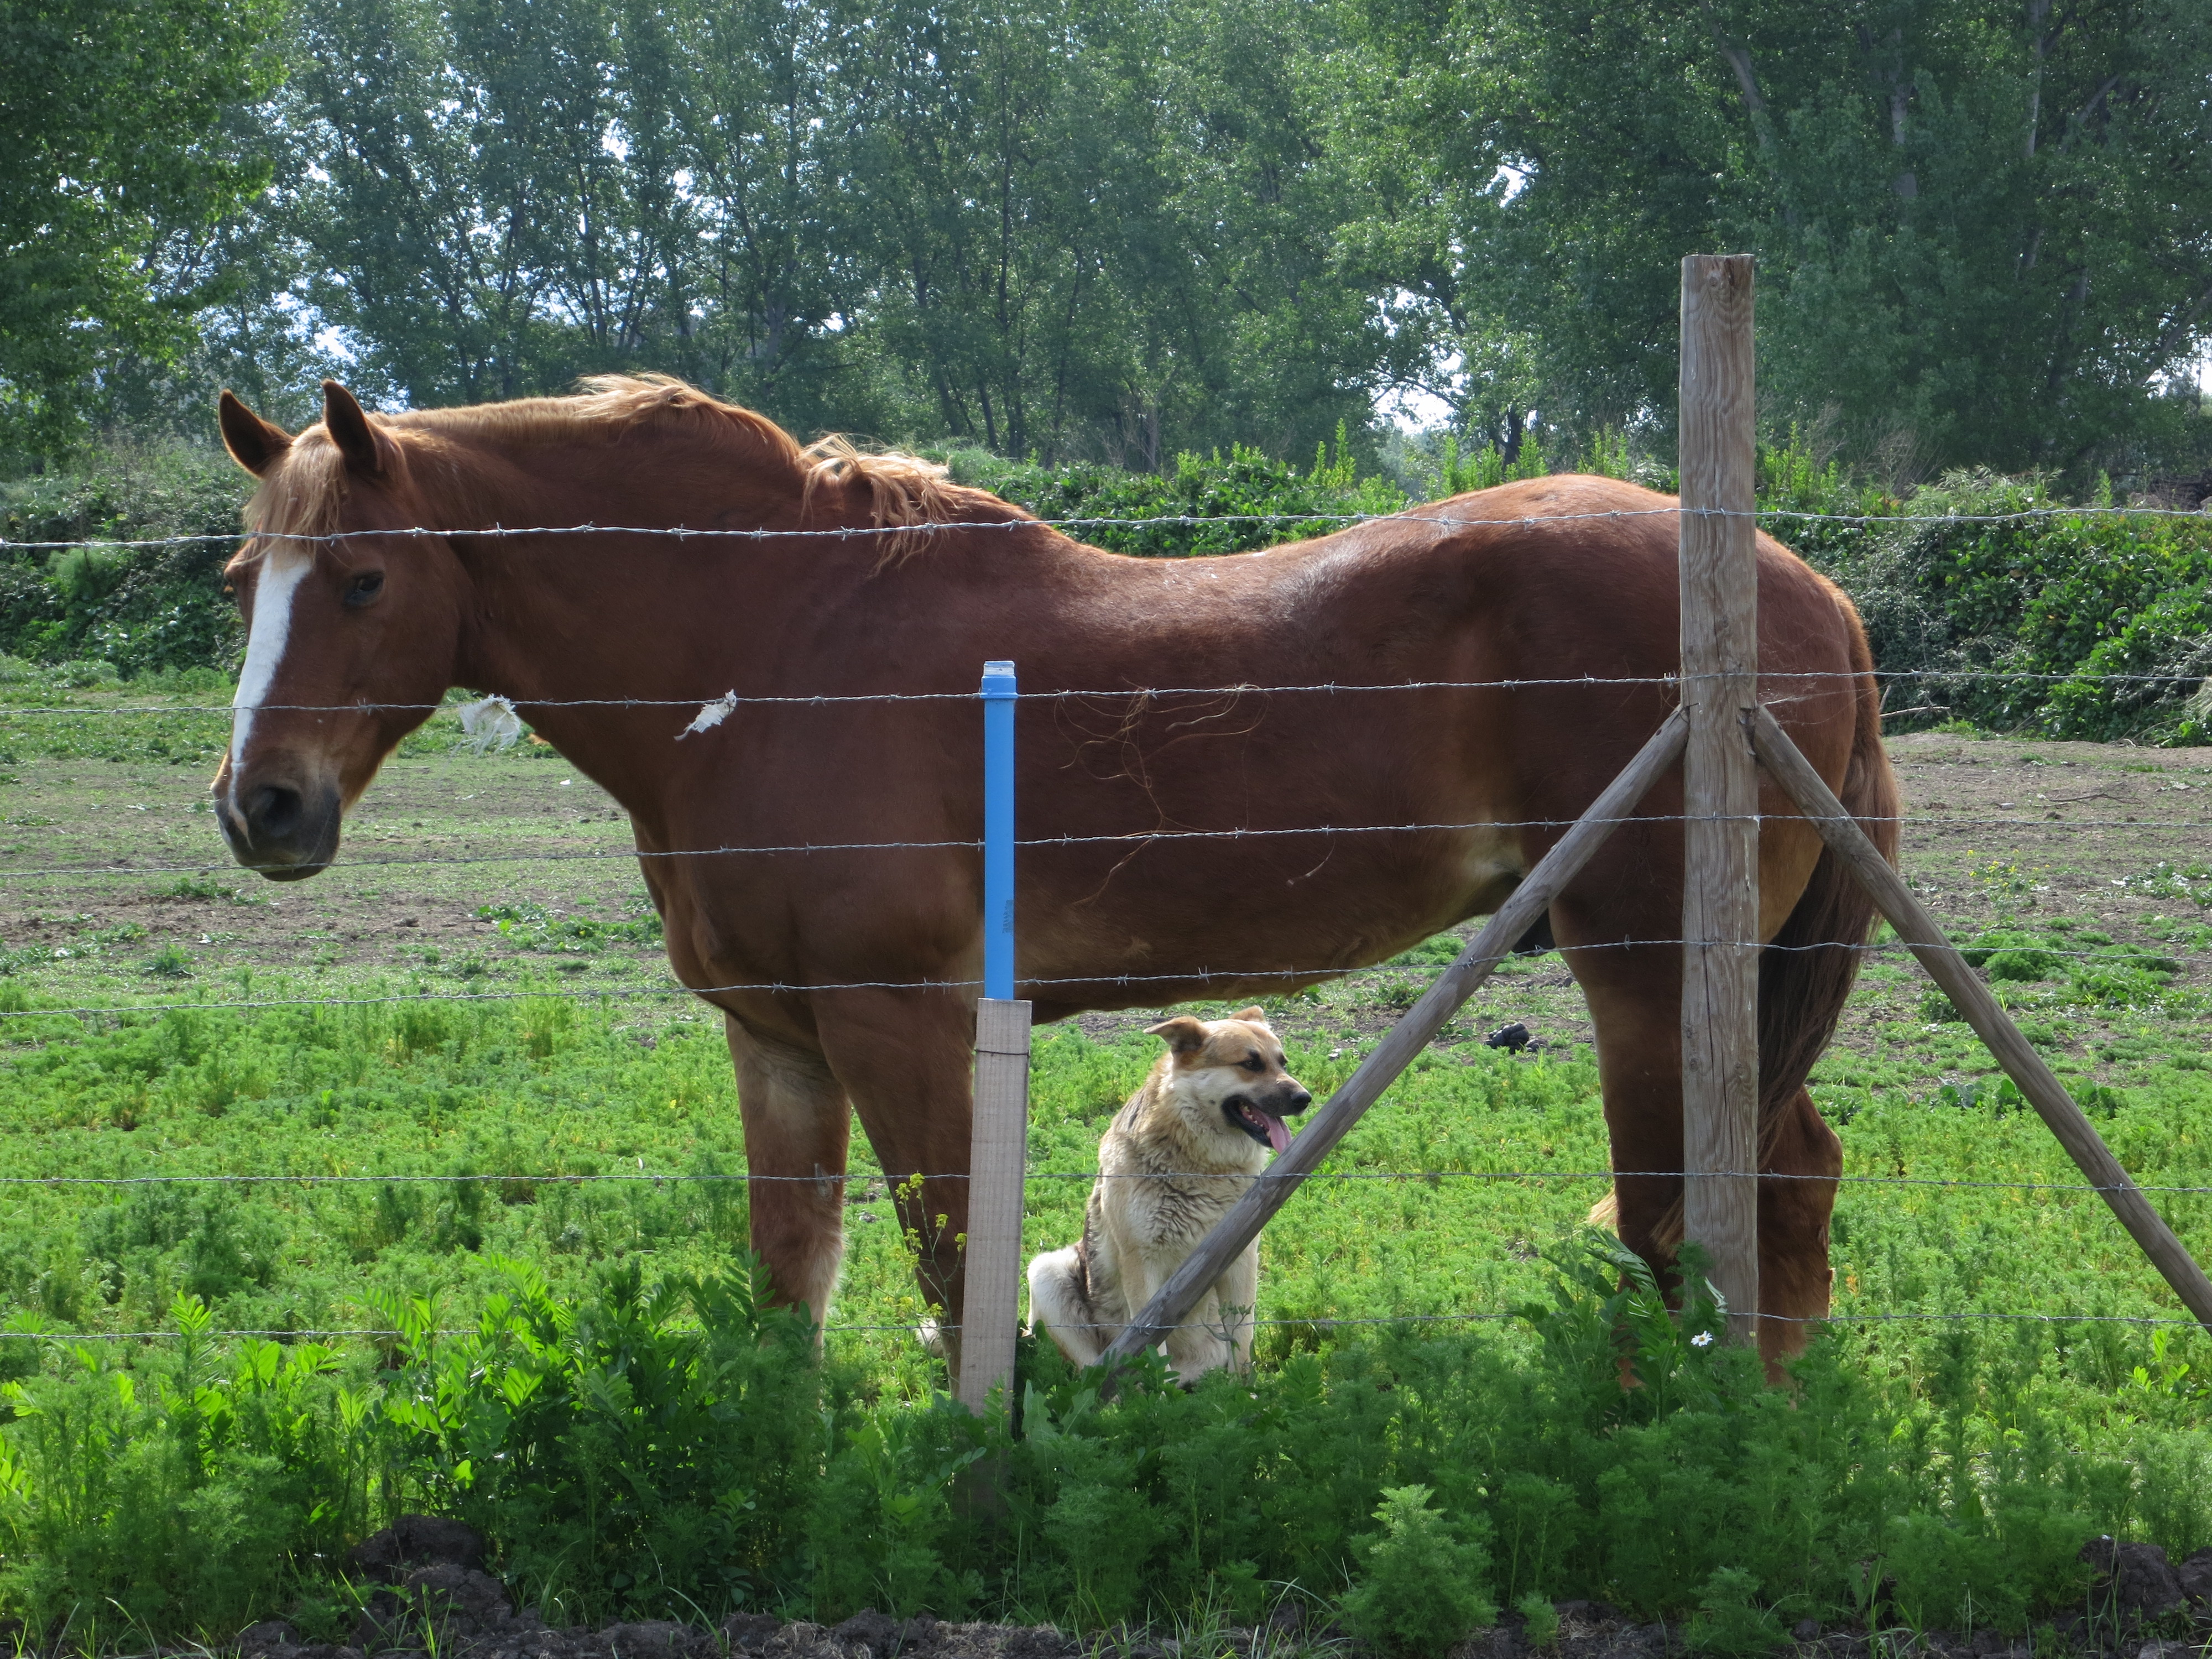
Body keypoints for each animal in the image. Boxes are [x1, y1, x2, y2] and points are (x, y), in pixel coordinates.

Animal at [1027, 1007, 1311, 1381]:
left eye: (1283, 1063)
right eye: (1250, 1064)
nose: (1305, 1099)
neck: (1201, 1167)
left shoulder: (1241, 1260)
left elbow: (1242, 1339)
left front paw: (1242, 1391)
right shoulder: (1142, 1264)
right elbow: (1152, 1348)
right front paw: (1157, 1397)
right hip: (1046, 1273)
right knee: (1092, 1368)